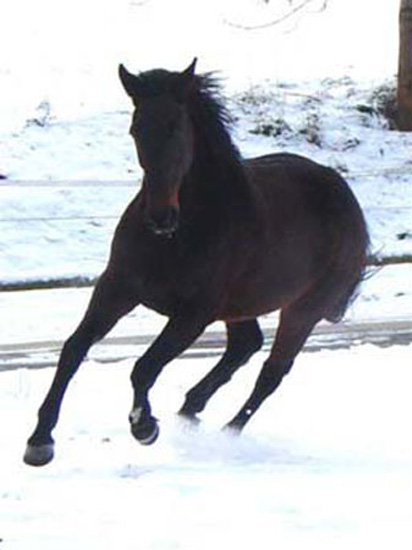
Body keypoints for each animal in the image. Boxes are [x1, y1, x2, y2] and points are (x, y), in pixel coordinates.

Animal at [24, 59, 369, 466]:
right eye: (136, 128)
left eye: (176, 126)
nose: (160, 216)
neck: (178, 237)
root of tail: (346, 198)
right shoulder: (117, 288)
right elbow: (73, 350)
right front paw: (39, 441)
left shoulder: (194, 314)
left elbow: (145, 367)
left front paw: (144, 426)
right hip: (241, 305)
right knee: (245, 346)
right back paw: (188, 413)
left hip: (303, 310)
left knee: (271, 372)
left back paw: (226, 433)